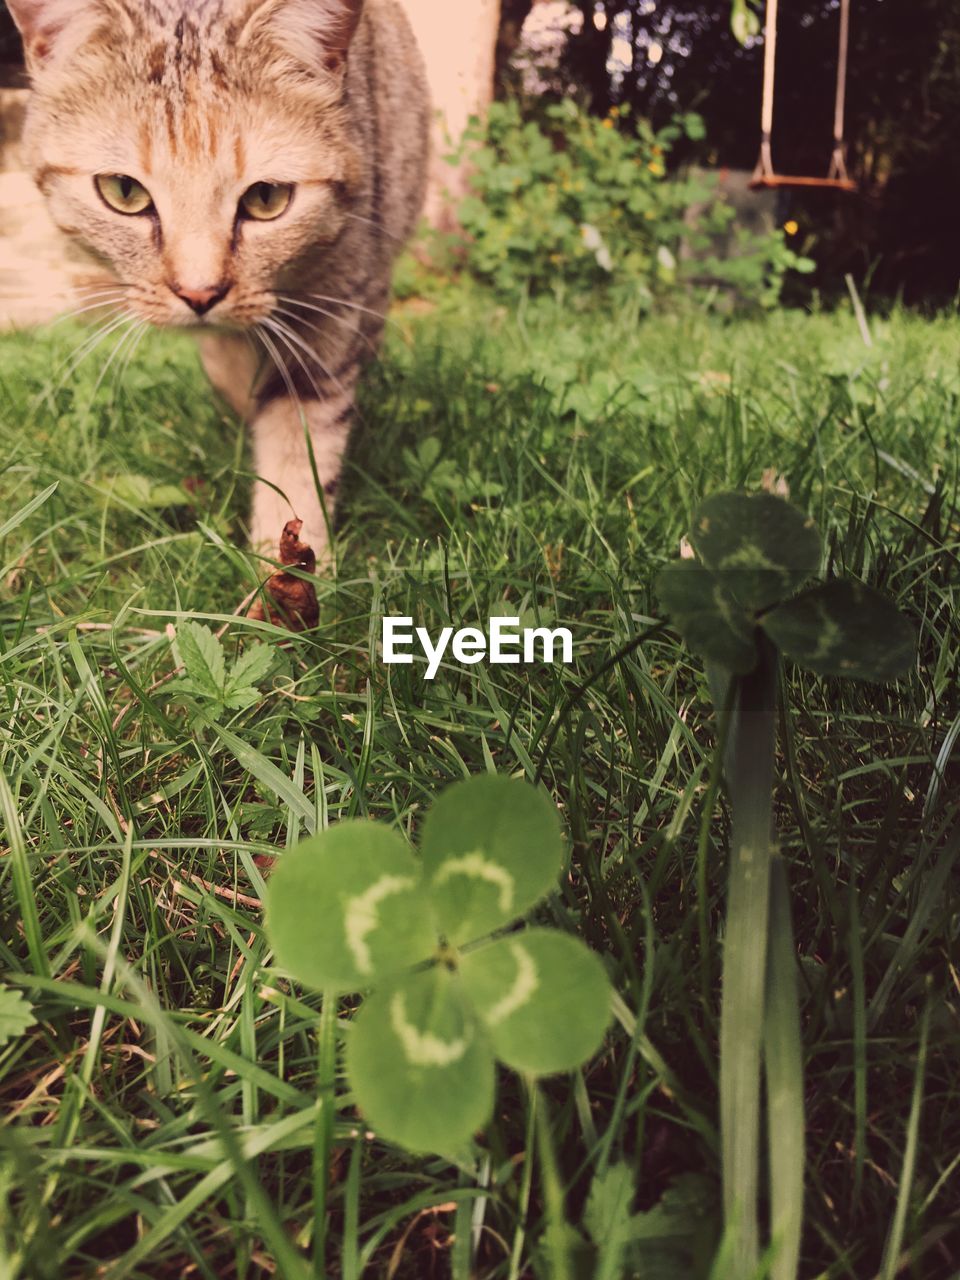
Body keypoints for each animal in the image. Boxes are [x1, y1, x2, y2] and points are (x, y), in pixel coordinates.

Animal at [6, 0, 427, 560]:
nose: (199, 294)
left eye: (267, 197)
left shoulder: (333, 309)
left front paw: (289, 570)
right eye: (123, 191)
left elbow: (300, 456)